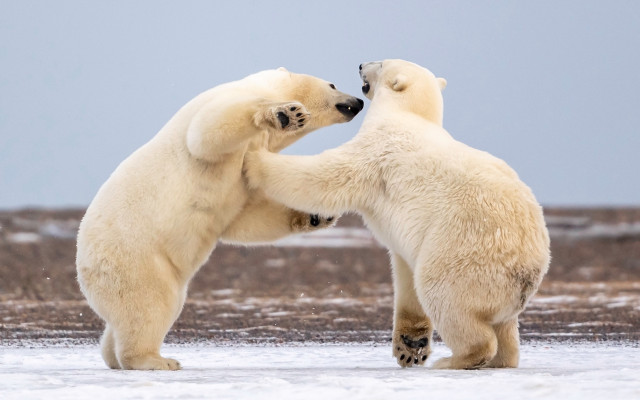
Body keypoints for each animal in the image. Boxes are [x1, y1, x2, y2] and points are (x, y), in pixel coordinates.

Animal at [76, 67, 364, 370]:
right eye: (332, 84)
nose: (358, 102)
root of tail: (84, 268)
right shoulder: (222, 103)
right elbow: (207, 133)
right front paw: (286, 114)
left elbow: (247, 215)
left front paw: (318, 214)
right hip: (135, 260)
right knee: (150, 306)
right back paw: (156, 360)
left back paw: (114, 355)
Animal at [244, 59, 551, 370]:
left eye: (381, 63)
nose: (361, 64)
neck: (409, 115)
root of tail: (528, 270)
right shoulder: (410, 236)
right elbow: (405, 274)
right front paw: (410, 345)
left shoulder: (378, 151)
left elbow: (326, 176)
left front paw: (255, 158)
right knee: (503, 326)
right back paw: (501, 359)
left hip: (463, 251)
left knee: (445, 298)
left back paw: (456, 359)